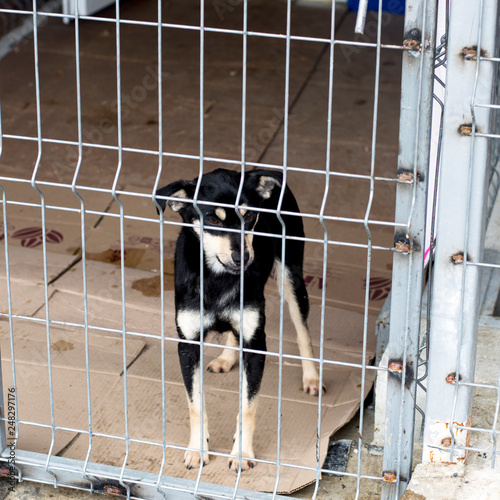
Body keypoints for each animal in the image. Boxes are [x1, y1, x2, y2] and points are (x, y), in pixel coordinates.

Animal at [154, 168, 322, 472]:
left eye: (250, 216)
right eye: (211, 219)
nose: (242, 257)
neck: (218, 279)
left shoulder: (256, 345)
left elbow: (247, 407)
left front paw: (241, 453)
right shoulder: (188, 346)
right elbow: (195, 405)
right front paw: (197, 449)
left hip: (291, 274)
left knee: (302, 329)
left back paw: (311, 376)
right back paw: (227, 357)